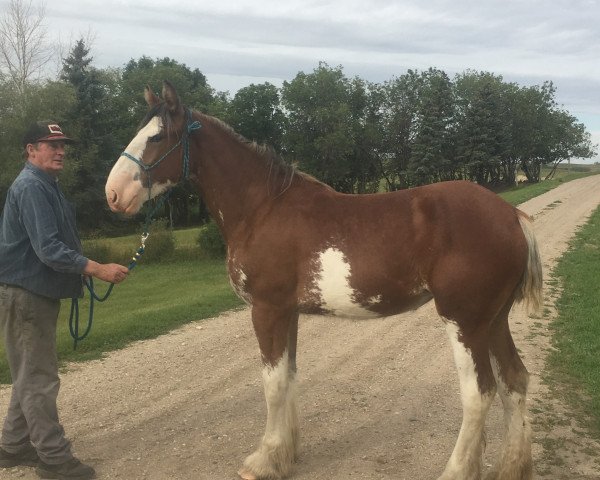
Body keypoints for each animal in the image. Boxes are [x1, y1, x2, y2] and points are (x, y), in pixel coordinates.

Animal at [105, 80, 540, 478]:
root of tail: (511, 216)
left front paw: (263, 460)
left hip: (464, 321)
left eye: (157, 136)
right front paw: (285, 455)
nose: (112, 194)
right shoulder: (288, 313)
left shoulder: (266, 310)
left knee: (479, 393)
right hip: (492, 321)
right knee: (514, 381)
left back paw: (457, 469)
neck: (262, 208)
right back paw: (511, 467)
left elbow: (272, 384)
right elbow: (289, 377)